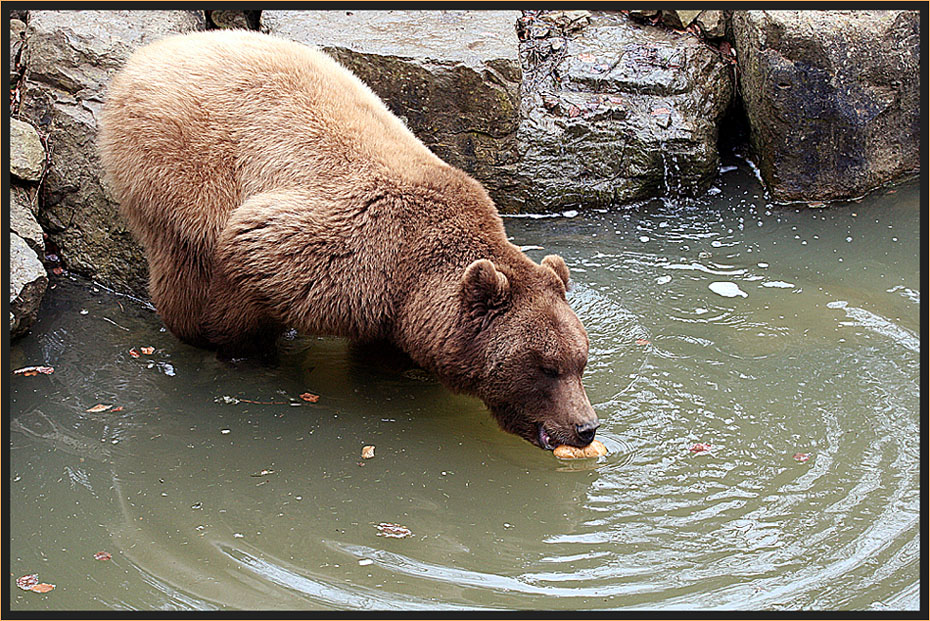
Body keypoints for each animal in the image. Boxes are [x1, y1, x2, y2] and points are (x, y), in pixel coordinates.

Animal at [98, 29, 600, 448]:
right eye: (546, 367)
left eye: (580, 360)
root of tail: (150, 52)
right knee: (183, 262)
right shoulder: (329, 246)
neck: (413, 276)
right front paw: (250, 354)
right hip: (177, 166)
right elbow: (246, 271)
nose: (586, 427)